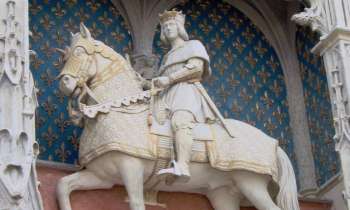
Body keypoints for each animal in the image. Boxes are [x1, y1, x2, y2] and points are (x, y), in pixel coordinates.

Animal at [56, 23, 300, 210]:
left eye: (79, 52)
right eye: (65, 56)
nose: (64, 83)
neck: (117, 109)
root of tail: (274, 143)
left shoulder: (131, 168)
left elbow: (136, 203)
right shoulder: (102, 176)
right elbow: (63, 185)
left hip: (251, 183)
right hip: (224, 193)